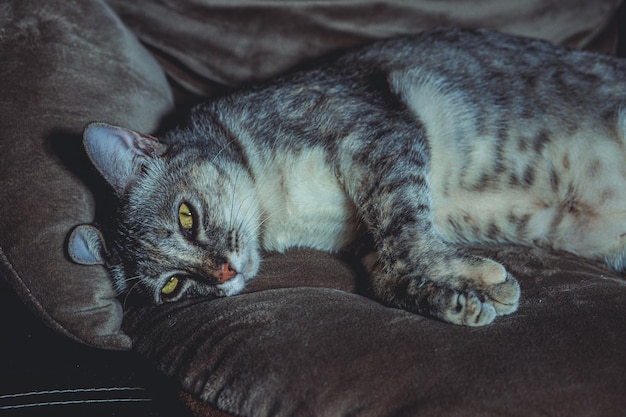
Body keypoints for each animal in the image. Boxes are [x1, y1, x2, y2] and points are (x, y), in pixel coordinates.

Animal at [67, 28, 624, 324]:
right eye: (171, 287)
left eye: (186, 216)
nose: (224, 274)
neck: (283, 213)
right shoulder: (366, 237)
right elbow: (388, 274)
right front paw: (459, 298)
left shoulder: (378, 135)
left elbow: (407, 237)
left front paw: (481, 282)